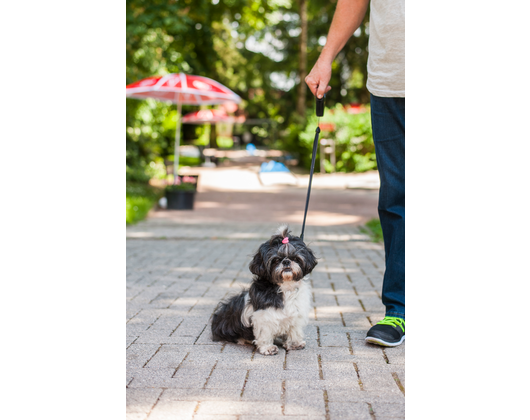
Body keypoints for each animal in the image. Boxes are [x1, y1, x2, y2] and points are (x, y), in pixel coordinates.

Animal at [210, 226, 318, 354]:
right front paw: (267, 347)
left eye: (295, 258)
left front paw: (294, 343)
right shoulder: (263, 316)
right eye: (276, 260)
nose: (286, 261)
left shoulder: (296, 313)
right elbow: (265, 332)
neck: (285, 287)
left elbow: (294, 330)